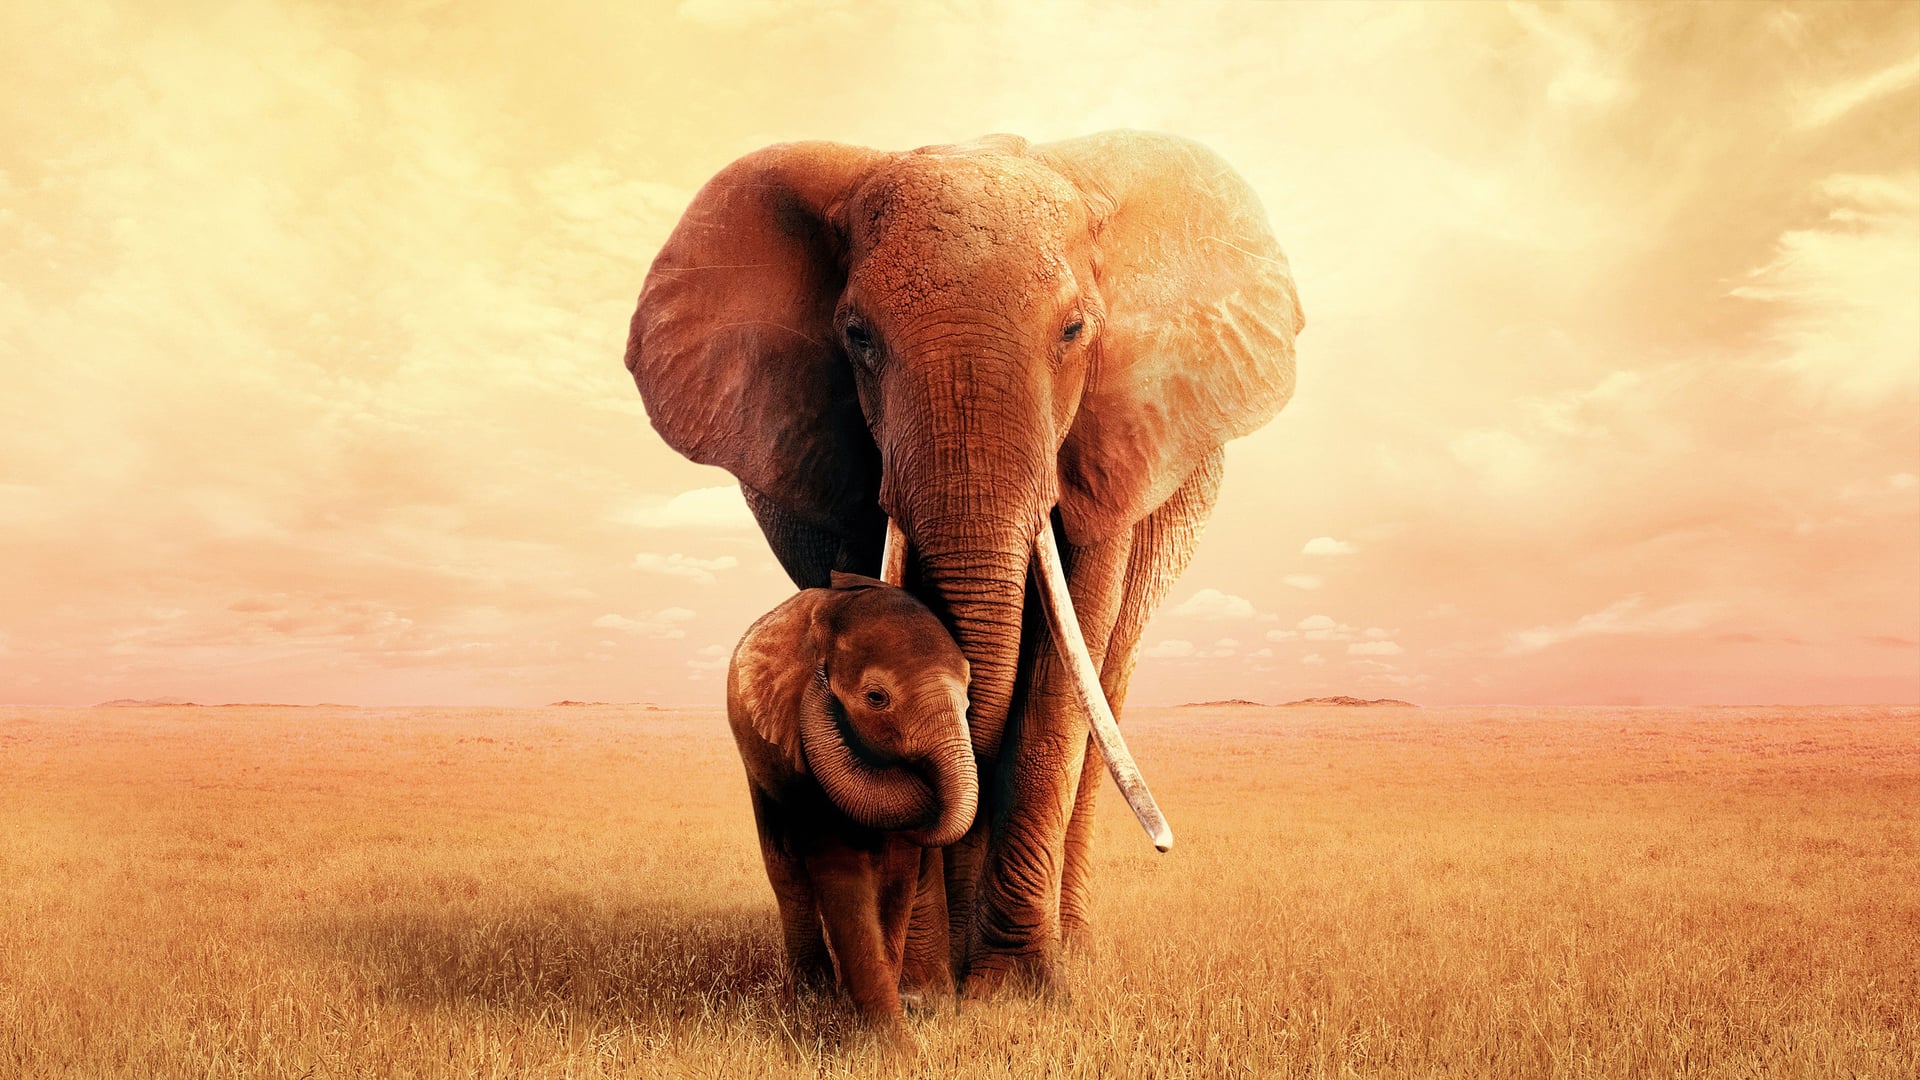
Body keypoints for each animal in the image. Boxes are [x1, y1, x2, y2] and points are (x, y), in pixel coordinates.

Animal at [727, 572, 977, 1033]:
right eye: (877, 698)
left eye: (968, 696)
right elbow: (836, 860)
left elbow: (897, 873)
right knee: (786, 871)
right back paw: (810, 994)